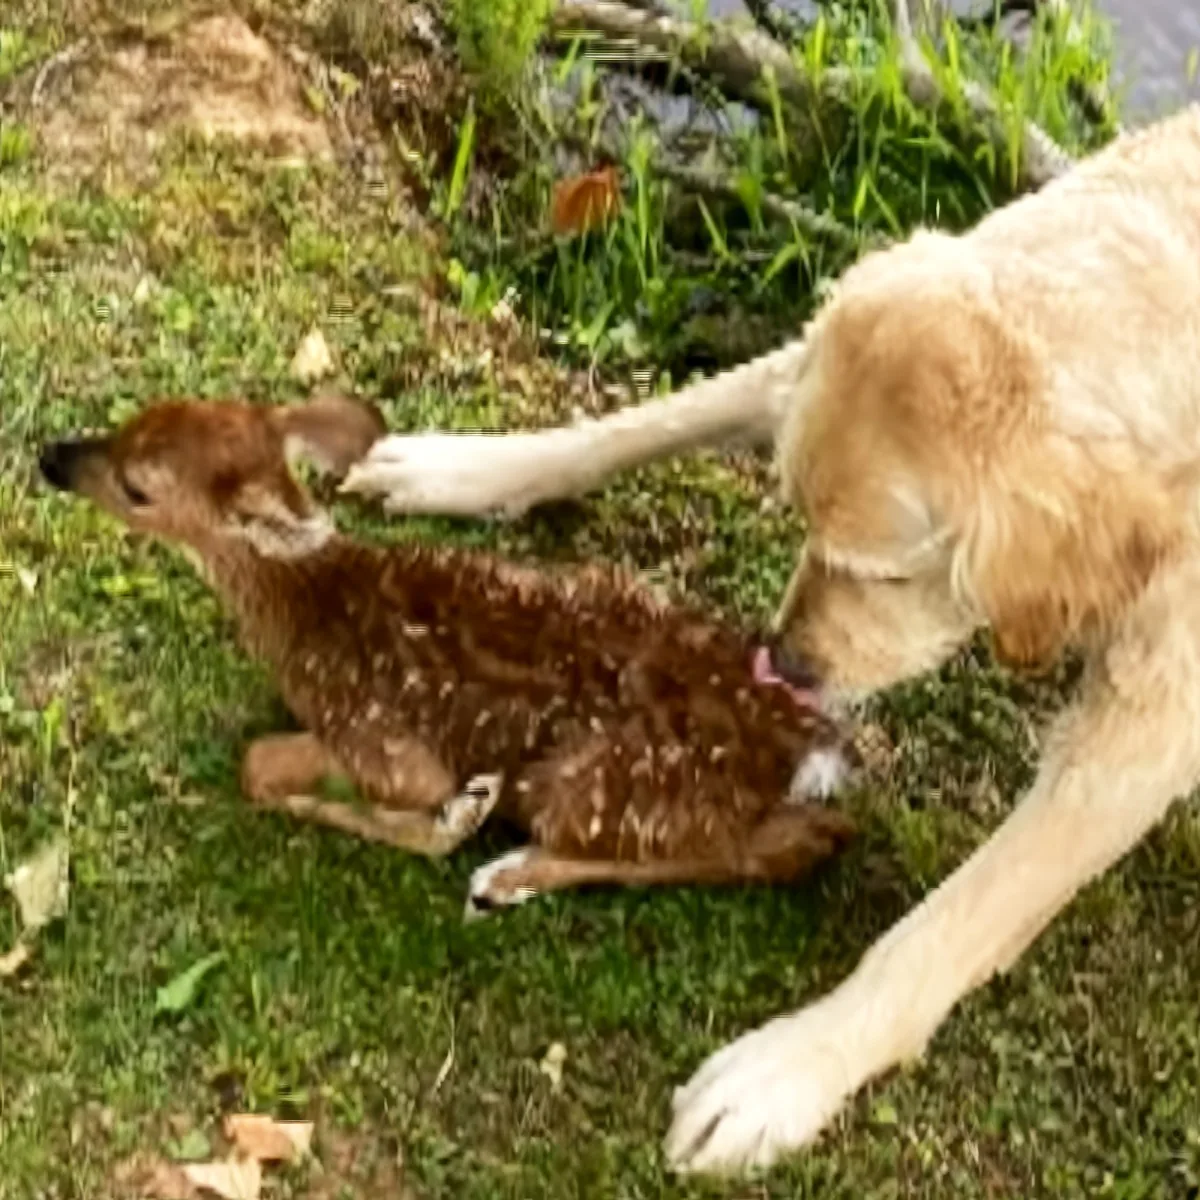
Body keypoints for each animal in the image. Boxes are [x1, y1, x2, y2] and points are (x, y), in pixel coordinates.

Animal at [39, 395, 857, 916]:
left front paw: (457, 817)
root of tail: (805, 749)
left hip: (590, 781)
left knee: (779, 851)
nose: (51, 457)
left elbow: (260, 766)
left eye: (138, 488)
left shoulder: (382, 740)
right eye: (134, 420)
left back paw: (506, 876)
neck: (306, 613)